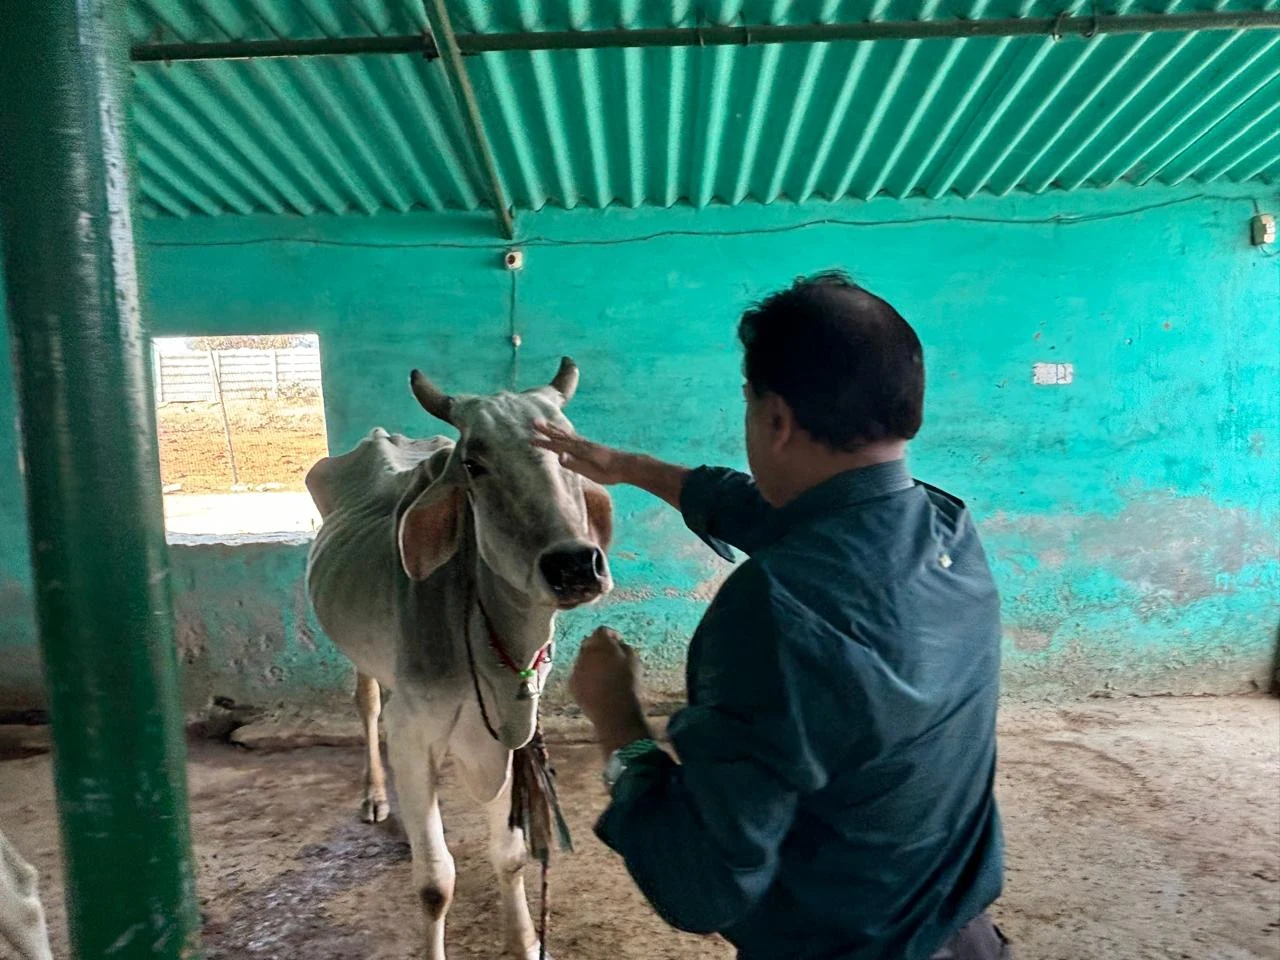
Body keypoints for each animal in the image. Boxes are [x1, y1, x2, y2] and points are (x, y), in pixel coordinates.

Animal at [304, 358, 613, 960]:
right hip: (364, 660)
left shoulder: (512, 728)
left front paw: (525, 941)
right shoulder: (415, 729)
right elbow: (435, 883)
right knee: (370, 705)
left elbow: (511, 856)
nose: (574, 567)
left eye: (570, 454)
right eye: (473, 463)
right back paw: (377, 797)